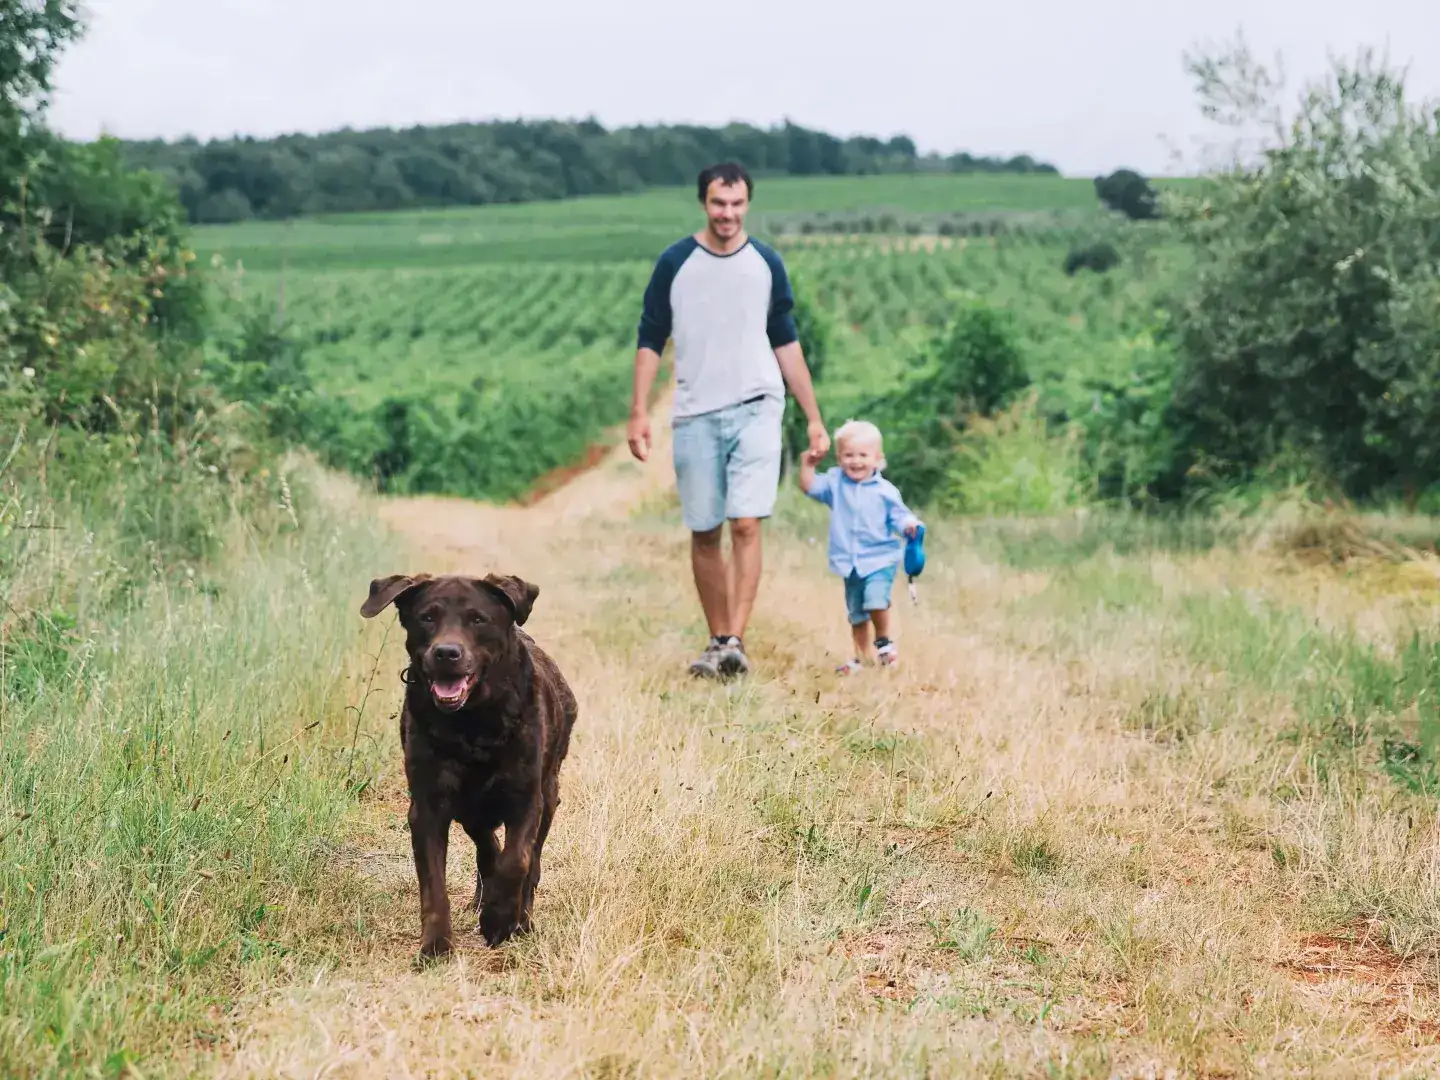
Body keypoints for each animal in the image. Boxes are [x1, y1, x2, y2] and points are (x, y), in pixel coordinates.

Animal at [357, 570, 576, 961]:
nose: (446, 652)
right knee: (487, 845)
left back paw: (520, 917)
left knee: (529, 860)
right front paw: (436, 944)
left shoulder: (526, 798)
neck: (472, 723)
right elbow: (434, 885)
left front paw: (498, 921)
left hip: (549, 794)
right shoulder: (428, 806)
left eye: (478, 619)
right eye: (427, 617)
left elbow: (516, 861)